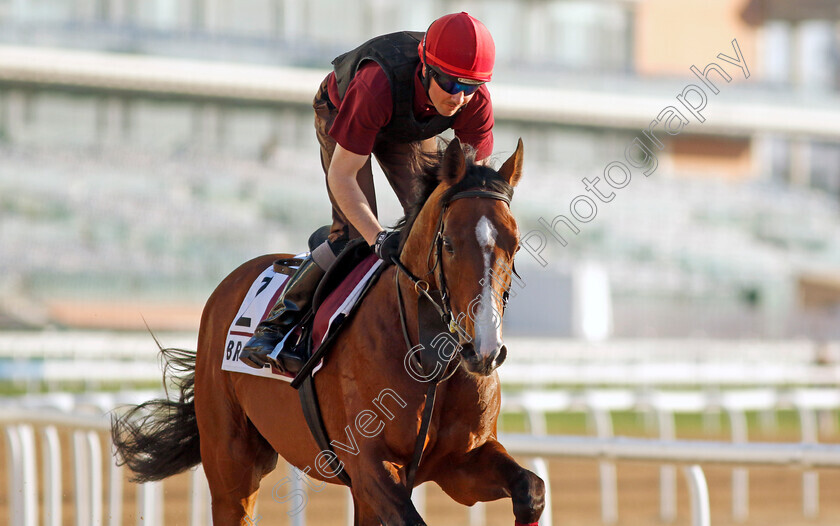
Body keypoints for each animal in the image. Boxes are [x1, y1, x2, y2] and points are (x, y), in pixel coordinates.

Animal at [111, 139, 544, 526]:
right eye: (450, 244)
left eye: (515, 246)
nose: (484, 351)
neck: (428, 357)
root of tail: (229, 283)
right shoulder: (370, 467)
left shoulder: (461, 463)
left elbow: (531, 490)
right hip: (230, 458)